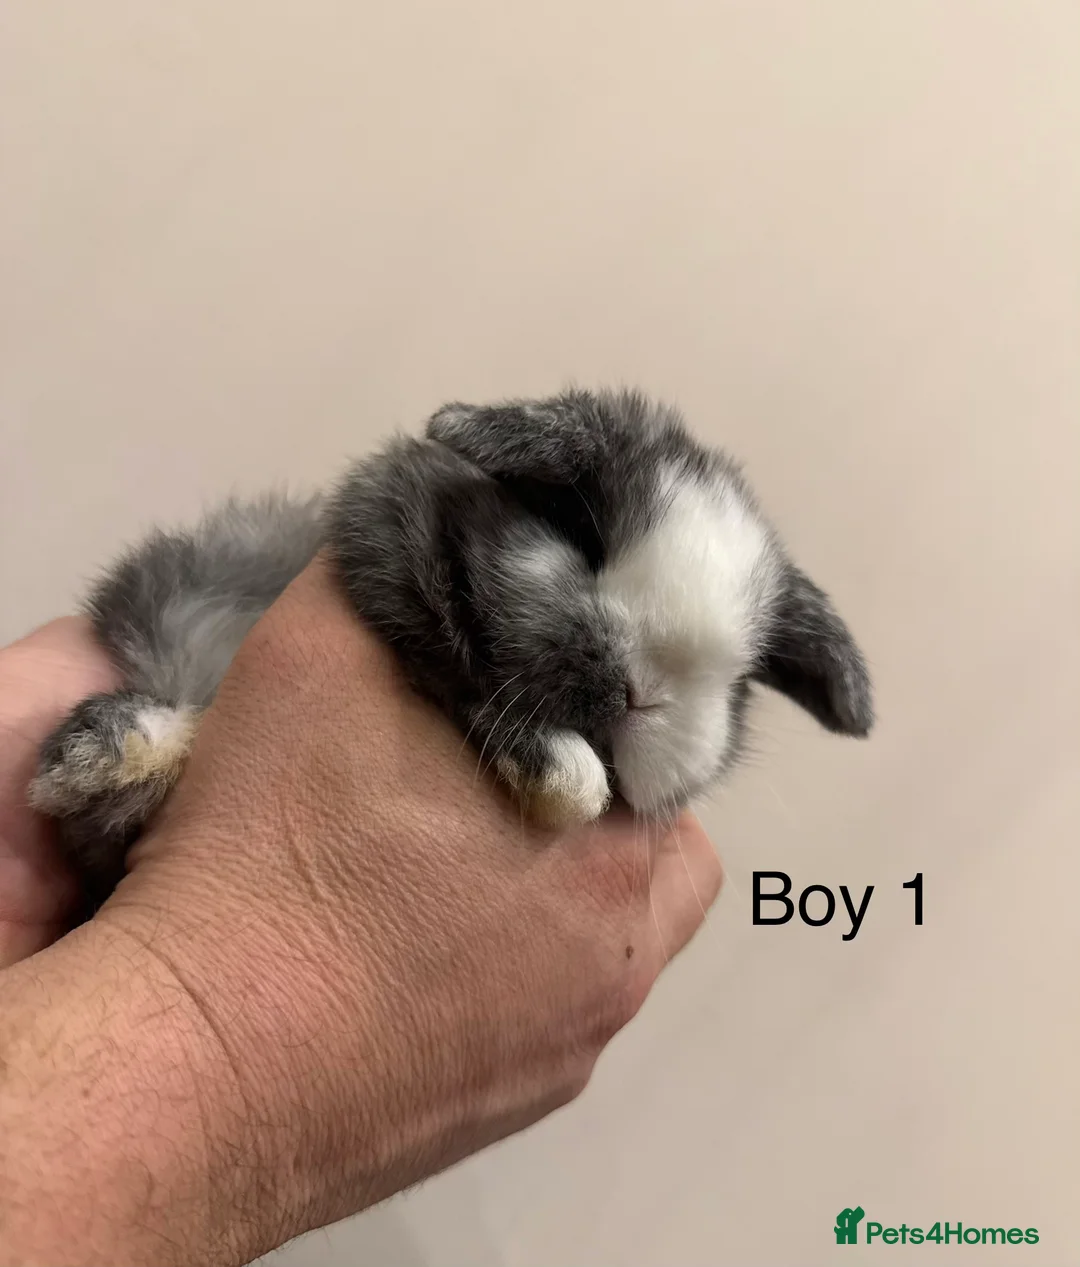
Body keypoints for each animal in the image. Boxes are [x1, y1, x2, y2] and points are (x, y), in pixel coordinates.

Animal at [29, 387, 873, 912]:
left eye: (740, 683)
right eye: (580, 532)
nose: (644, 694)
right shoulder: (384, 559)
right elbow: (466, 680)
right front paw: (563, 773)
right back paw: (95, 757)